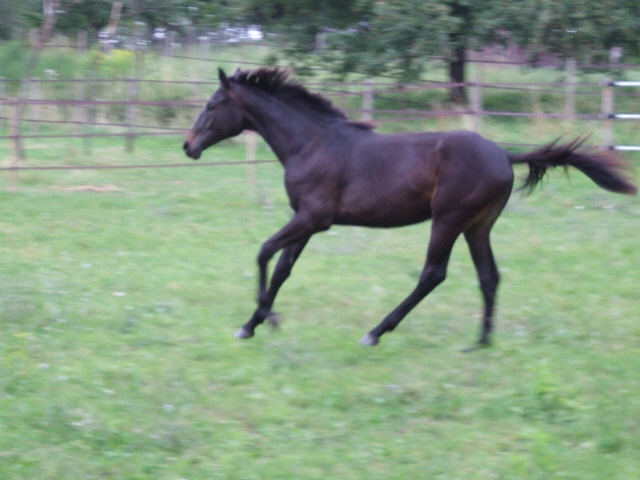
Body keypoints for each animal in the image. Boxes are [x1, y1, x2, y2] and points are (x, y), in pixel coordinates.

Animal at [184, 65, 636, 346]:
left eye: (211, 105)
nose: (188, 147)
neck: (311, 144)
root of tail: (504, 154)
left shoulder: (313, 217)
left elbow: (263, 253)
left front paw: (265, 319)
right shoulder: (307, 221)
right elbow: (282, 268)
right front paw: (254, 324)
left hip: (448, 219)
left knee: (433, 274)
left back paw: (376, 332)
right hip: (478, 225)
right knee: (489, 276)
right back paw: (481, 343)